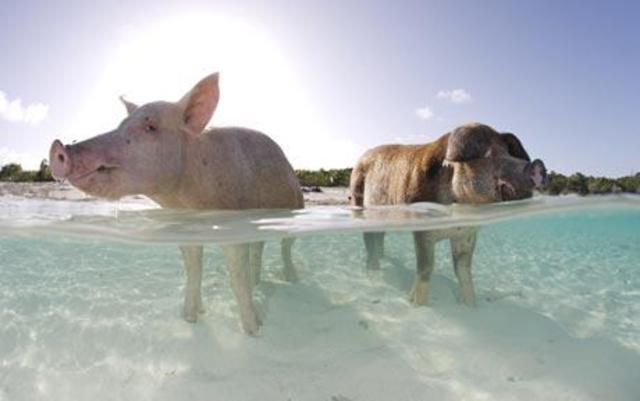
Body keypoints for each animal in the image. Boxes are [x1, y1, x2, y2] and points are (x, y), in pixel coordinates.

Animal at [49, 73, 304, 335]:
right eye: (120, 124)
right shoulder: (183, 229)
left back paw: (292, 280)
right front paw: (191, 318)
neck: (189, 201)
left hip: (295, 207)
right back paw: (258, 283)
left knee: (285, 247)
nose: (59, 146)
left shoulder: (233, 223)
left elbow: (237, 277)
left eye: (150, 126)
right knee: (259, 246)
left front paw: (253, 331)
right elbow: (193, 270)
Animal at [349, 123, 546, 306]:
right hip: (358, 198)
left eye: (509, 153)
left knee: (379, 238)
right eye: (489, 155)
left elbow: (464, 270)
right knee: (369, 240)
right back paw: (373, 270)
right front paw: (416, 304)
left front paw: (471, 307)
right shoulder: (422, 229)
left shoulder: (466, 234)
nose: (537, 165)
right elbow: (426, 266)